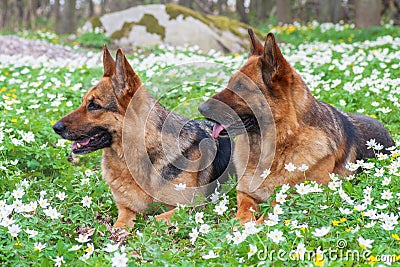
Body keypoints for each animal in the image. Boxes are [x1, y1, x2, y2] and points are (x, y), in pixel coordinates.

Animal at [53, 45, 234, 228]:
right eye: (83, 102)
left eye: (94, 105)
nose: (55, 127)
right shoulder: (126, 210)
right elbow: (119, 226)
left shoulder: (188, 207)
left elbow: (154, 222)